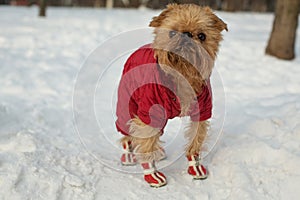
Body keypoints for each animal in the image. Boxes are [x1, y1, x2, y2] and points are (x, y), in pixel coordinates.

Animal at [115, 3, 227, 188]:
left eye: (202, 36)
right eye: (172, 33)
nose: (187, 35)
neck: (182, 74)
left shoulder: (202, 111)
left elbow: (196, 139)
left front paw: (195, 166)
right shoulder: (149, 112)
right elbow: (146, 142)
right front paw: (152, 174)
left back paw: (158, 152)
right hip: (127, 103)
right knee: (128, 131)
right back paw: (129, 155)